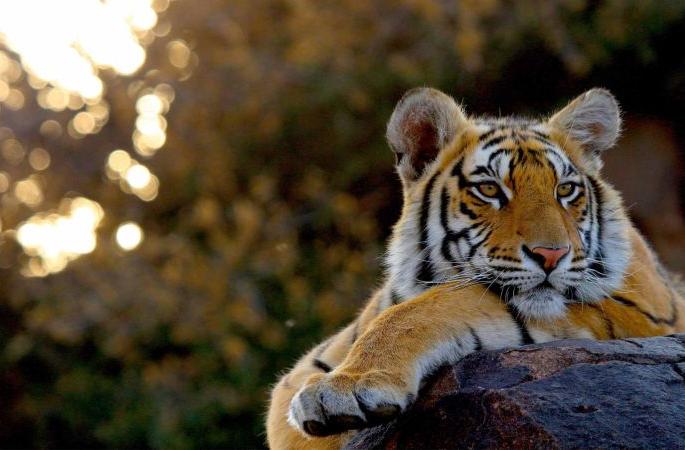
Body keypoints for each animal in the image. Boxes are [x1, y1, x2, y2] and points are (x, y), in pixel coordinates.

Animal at [266, 87, 685, 450]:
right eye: (490, 190)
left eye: (565, 190)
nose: (551, 255)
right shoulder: (293, 381)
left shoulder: (640, 309)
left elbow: (437, 306)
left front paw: (345, 388)